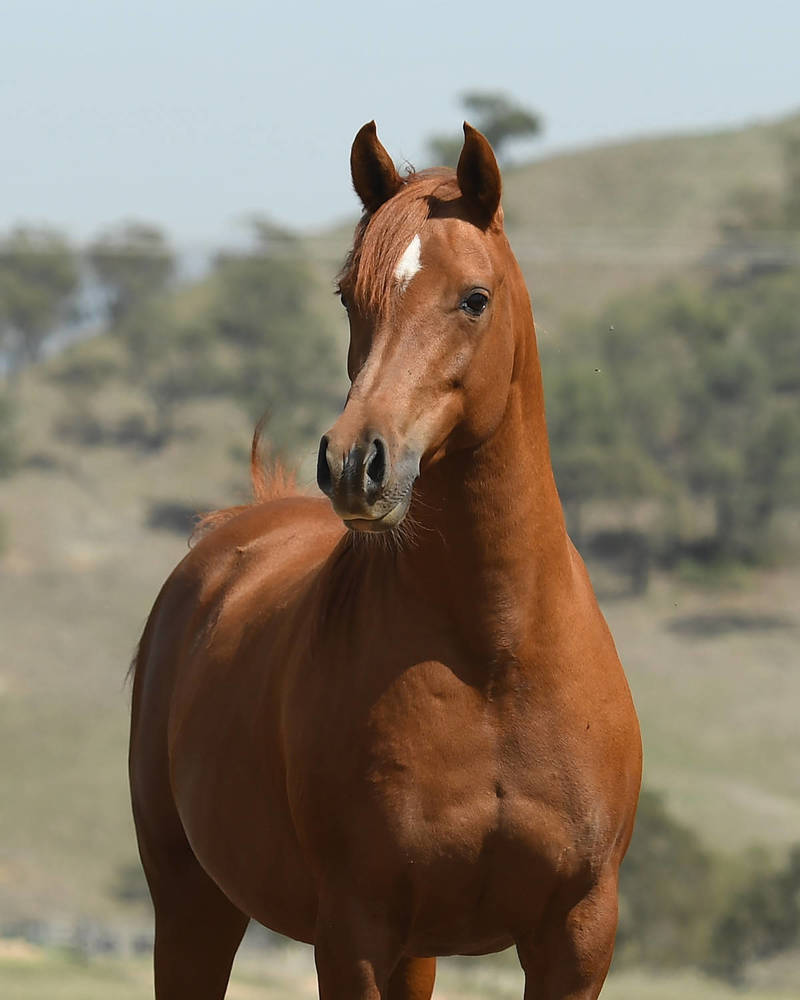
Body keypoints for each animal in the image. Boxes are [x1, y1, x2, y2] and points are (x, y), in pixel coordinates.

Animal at [129, 121, 642, 1000]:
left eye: (474, 297)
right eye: (349, 296)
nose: (353, 463)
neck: (495, 658)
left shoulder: (577, 936)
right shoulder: (356, 933)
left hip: (415, 950)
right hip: (193, 907)